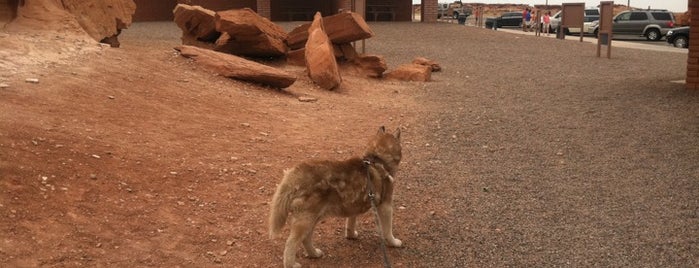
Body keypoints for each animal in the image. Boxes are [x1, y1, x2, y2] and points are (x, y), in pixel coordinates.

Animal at [270, 126, 404, 268]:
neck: (376, 159)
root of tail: (296, 174)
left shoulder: (353, 207)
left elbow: (350, 223)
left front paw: (351, 235)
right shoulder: (386, 206)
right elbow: (388, 230)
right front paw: (394, 242)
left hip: (313, 218)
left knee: (306, 238)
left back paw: (314, 254)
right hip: (305, 220)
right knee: (291, 243)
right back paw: (292, 263)